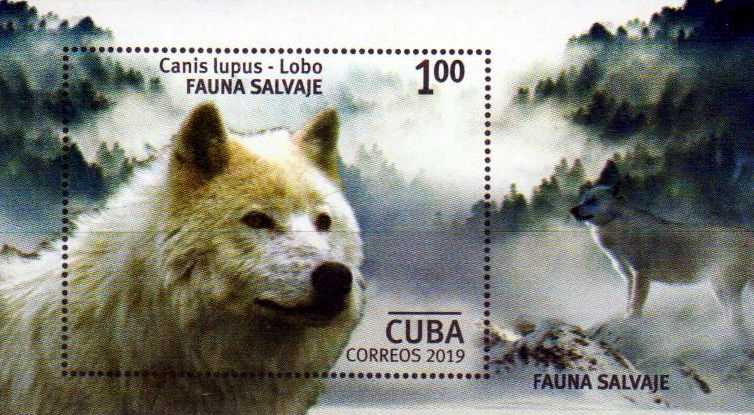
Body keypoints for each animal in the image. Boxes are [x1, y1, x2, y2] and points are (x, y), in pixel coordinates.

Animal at [571, 160, 754, 353]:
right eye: (583, 200)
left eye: (593, 201)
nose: (572, 210)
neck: (617, 226)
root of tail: (748, 232)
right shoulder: (628, 276)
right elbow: (628, 300)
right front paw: (627, 317)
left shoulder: (640, 273)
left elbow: (636, 303)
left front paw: (632, 320)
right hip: (719, 288)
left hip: (727, 287)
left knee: (738, 317)